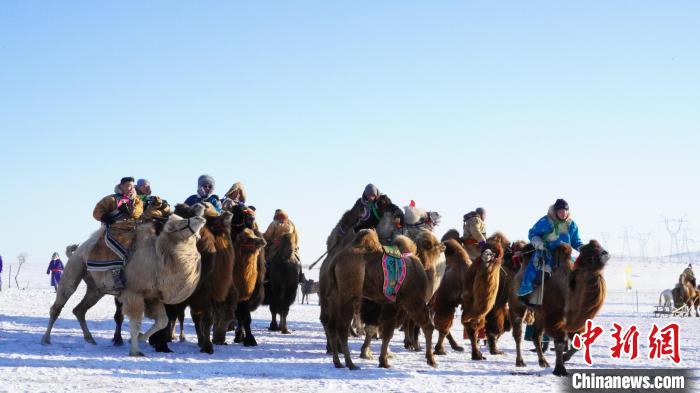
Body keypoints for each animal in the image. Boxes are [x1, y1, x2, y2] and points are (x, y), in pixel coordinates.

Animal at [324, 228, 434, 370]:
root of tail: (335, 261)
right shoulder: (413, 300)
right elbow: (427, 326)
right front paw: (431, 360)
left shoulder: (391, 303)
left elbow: (386, 332)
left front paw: (383, 361)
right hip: (348, 295)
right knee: (342, 328)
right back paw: (351, 364)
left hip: (334, 297)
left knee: (331, 326)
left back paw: (338, 363)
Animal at [508, 240, 608, 376]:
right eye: (589, 254)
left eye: (600, 248)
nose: (605, 253)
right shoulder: (553, 316)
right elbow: (560, 340)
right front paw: (560, 369)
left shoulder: (573, 321)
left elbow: (579, 342)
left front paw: (565, 359)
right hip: (517, 308)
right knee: (518, 334)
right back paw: (520, 361)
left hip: (539, 314)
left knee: (536, 336)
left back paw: (543, 362)